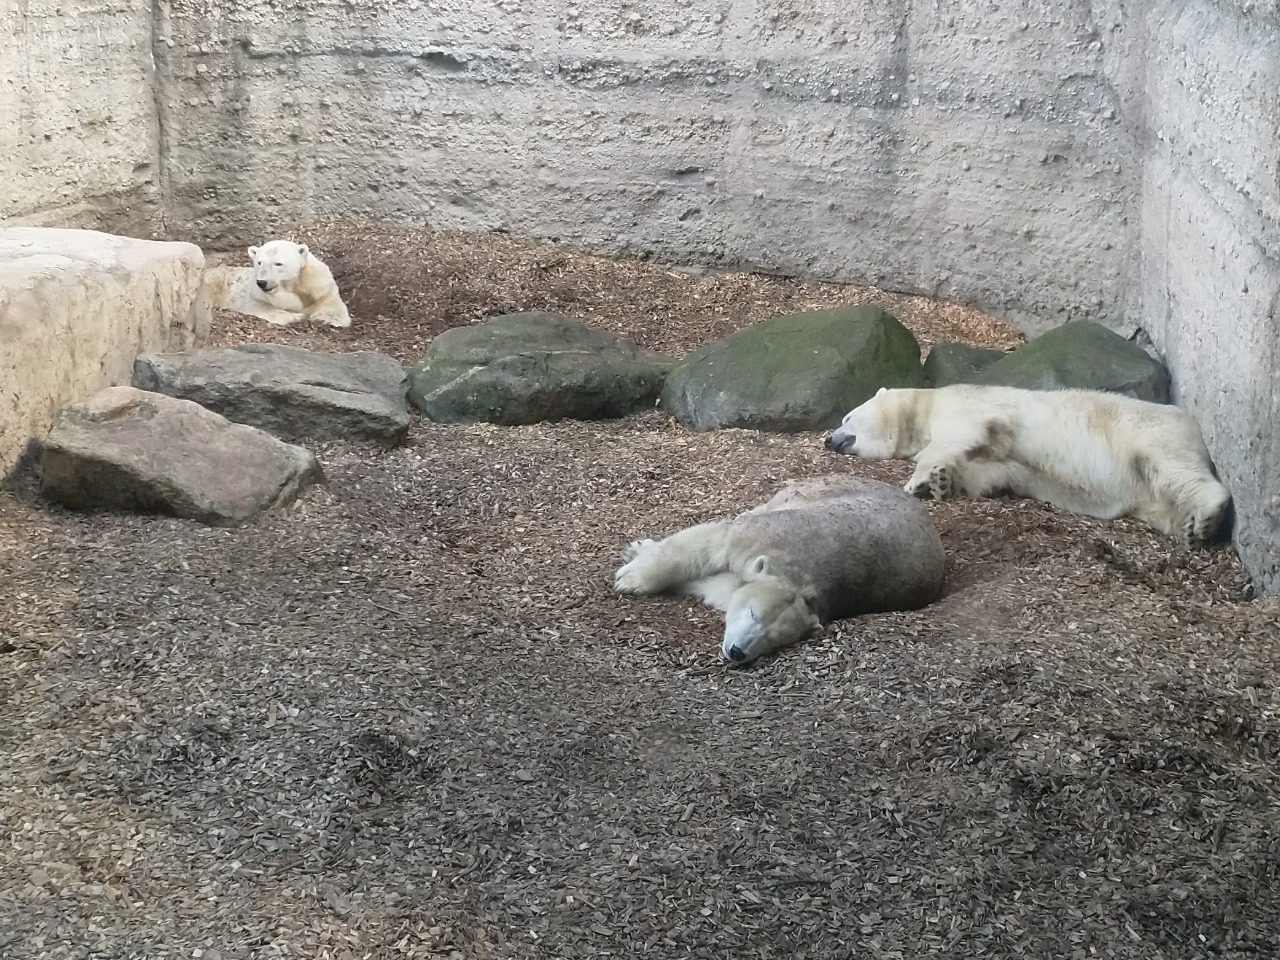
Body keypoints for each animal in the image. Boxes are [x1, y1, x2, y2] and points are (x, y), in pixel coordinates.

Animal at [209, 240, 350, 330]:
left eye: (278, 263)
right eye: (259, 262)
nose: (262, 282)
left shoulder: (320, 288)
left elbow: (334, 305)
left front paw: (324, 319)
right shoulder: (255, 294)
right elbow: (261, 306)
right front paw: (296, 317)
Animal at [614, 478, 947, 665]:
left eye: (774, 640)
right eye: (752, 613)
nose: (738, 652)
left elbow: (716, 586)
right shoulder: (761, 539)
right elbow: (708, 542)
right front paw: (631, 578)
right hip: (807, 492)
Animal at [824, 384, 1233, 547]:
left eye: (847, 416)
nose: (828, 438)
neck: (925, 406)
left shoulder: (969, 403)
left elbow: (962, 432)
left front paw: (921, 480)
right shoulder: (1003, 455)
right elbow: (991, 469)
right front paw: (942, 482)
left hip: (1146, 432)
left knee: (1175, 470)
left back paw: (1207, 516)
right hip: (1147, 495)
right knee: (1163, 502)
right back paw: (1190, 528)